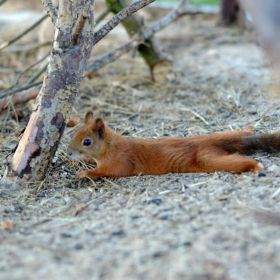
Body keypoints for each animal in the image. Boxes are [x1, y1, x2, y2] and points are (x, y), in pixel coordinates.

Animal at [67, 110, 280, 178]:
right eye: (74, 133)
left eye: (87, 141)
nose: (69, 152)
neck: (109, 147)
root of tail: (205, 140)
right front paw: (80, 162)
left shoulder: (120, 161)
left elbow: (108, 171)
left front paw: (85, 173)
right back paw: (248, 129)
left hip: (206, 159)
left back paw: (254, 166)